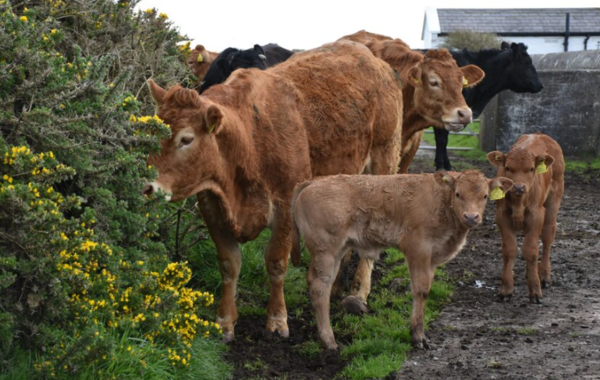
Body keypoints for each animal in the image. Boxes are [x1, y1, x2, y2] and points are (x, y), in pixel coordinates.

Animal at [292, 171, 512, 348]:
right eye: (458, 194)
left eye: (485, 196)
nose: (471, 216)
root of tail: (314, 181)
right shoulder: (418, 248)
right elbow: (420, 290)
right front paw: (418, 337)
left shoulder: (432, 258)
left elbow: (426, 290)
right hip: (326, 249)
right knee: (320, 287)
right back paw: (329, 341)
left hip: (337, 250)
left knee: (321, 283)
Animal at [432, 42, 544, 171]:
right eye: (528, 62)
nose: (540, 85)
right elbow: (442, 139)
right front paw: (441, 167)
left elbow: (442, 139)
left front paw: (446, 165)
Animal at [486, 133, 564, 302]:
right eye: (508, 168)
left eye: (531, 168)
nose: (519, 187)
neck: (519, 203)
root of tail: (539, 134)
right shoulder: (502, 215)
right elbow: (510, 250)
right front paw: (506, 289)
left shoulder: (536, 215)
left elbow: (531, 250)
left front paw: (535, 290)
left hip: (554, 200)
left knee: (547, 236)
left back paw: (543, 276)